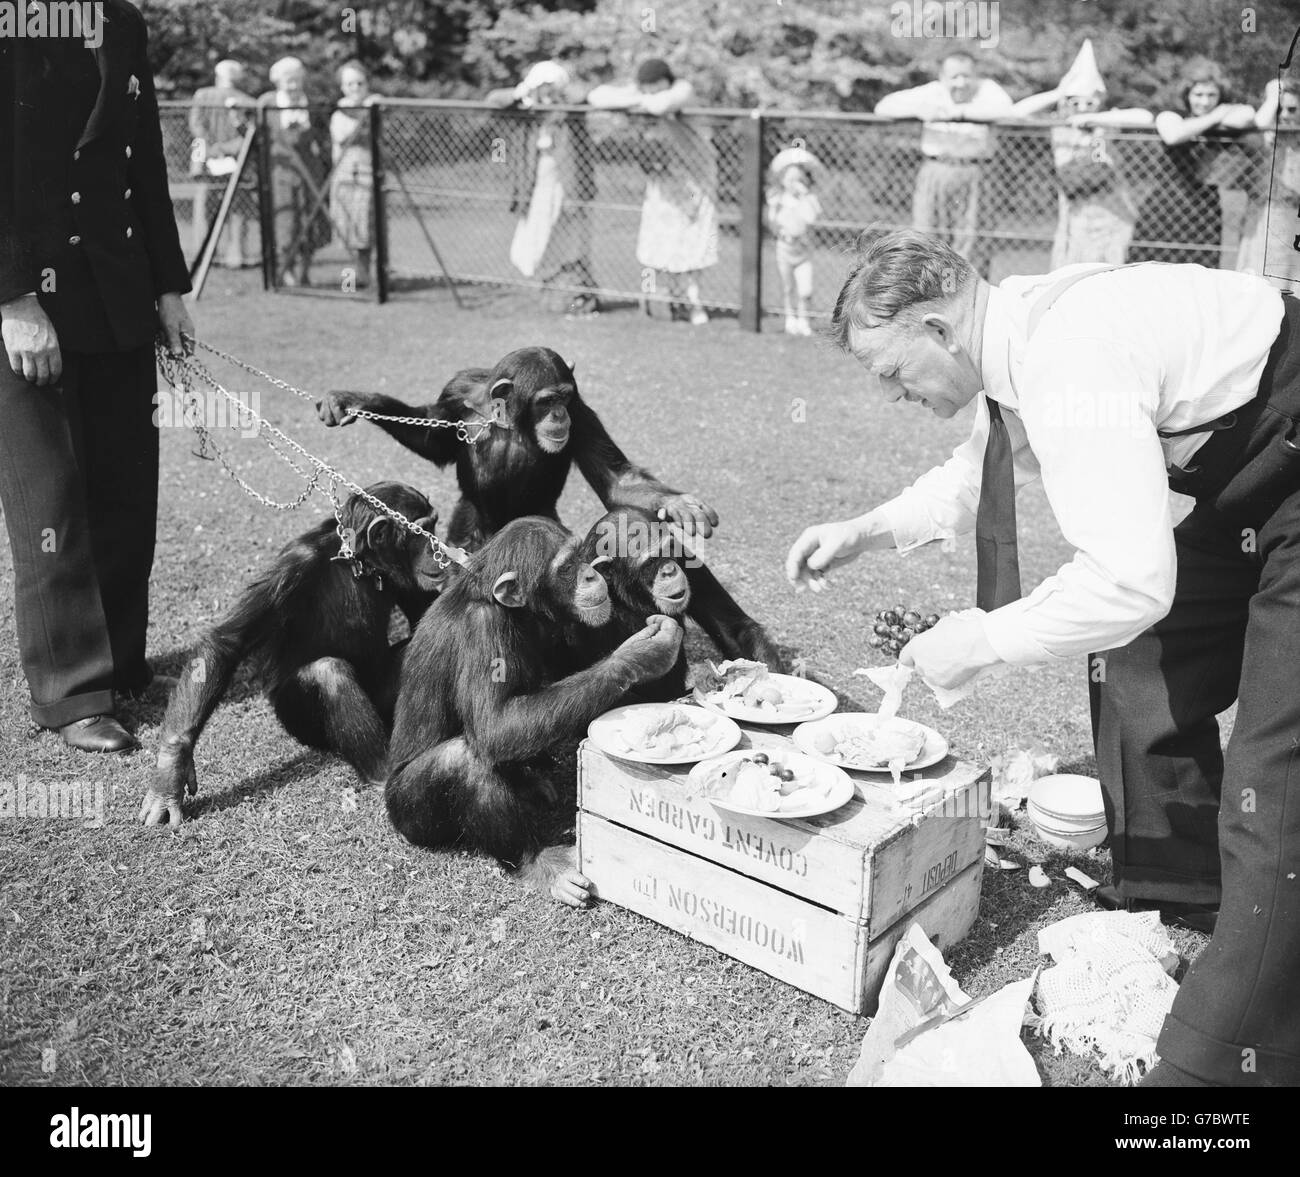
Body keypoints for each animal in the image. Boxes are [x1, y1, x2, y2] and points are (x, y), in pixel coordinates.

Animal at [137, 481, 441, 827]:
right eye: (425, 530)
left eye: (434, 527)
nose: (439, 548)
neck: (359, 564)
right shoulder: (292, 568)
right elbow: (227, 641)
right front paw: (170, 774)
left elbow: (424, 619)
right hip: (296, 720)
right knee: (328, 673)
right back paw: (384, 773)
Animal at [317, 343, 780, 665]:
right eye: (546, 400)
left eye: (564, 397)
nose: (559, 415)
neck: (513, 419)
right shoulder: (458, 391)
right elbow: (431, 435)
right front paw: (353, 399)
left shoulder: (584, 412)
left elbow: (617, 479)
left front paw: (680, 504)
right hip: (470, 529)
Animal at [384, 509, 686, 905]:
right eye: (567, 566)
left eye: (580, 557)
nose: (590, 574)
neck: (511, 610)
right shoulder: (482, 629)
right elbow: (494, 726)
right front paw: (641, 654)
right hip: (408, 816)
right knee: (461, 761)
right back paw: (538, 862)